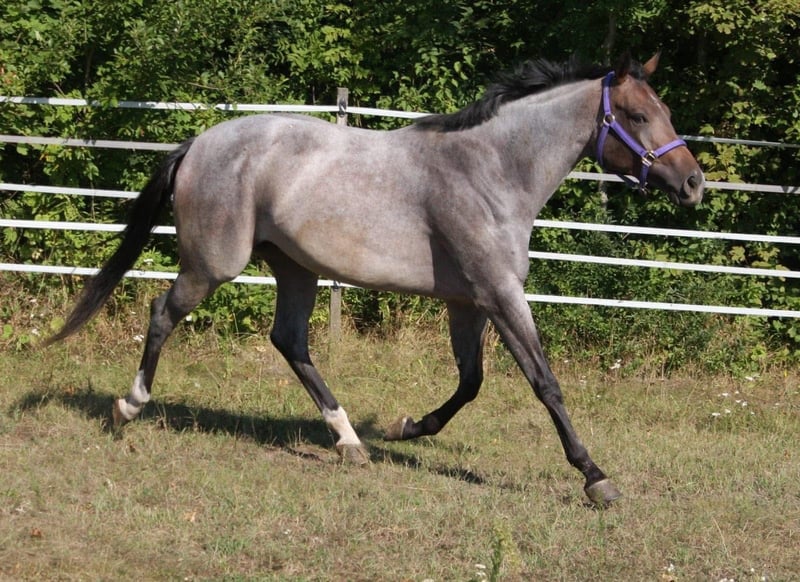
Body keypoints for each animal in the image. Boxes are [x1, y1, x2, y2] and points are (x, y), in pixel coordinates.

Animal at [46, 53, 704, 506]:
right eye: (638, 115)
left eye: (667, 111)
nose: (694, 183)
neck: (491, 170)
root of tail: (196, 144)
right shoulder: (499, 294)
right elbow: (545, 384)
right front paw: (596, 478)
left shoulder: (468, 302)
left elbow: (471, 383)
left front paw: (409, 427)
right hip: (214, 265)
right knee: (163, 313)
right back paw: (128, 408)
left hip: (296, 270)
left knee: (290, 342)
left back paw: (350, 442)